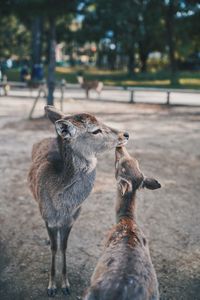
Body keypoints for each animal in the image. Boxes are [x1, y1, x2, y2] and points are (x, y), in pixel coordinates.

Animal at [27, 106, 129, 298]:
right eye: (95, 130)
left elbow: (64, 247)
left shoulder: (71, 220)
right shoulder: (48, 219)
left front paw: (65, 285)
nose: (125, 134)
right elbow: (54, 248)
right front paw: (52, 286)